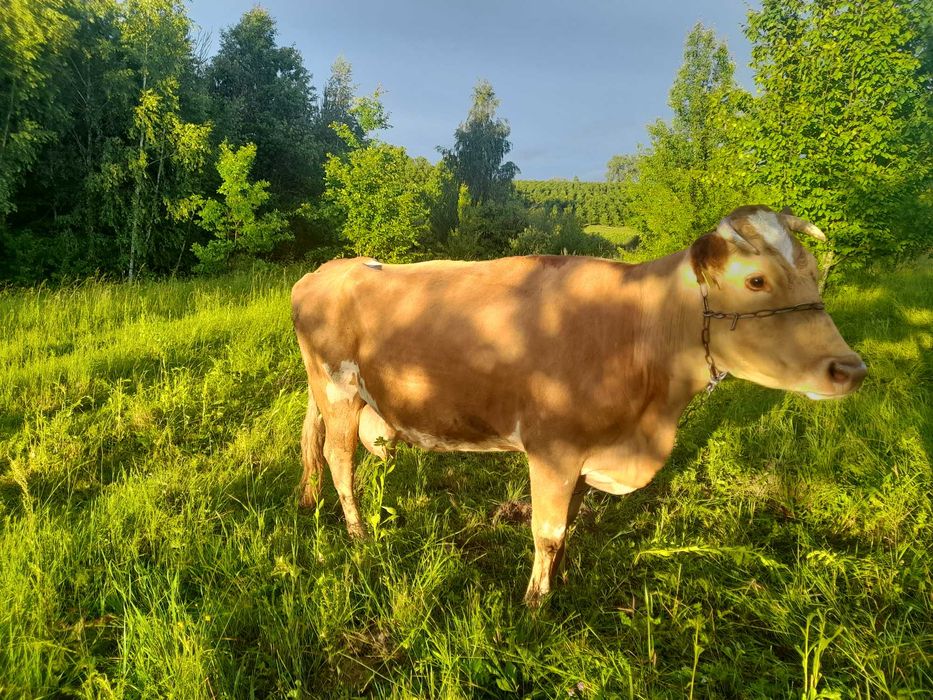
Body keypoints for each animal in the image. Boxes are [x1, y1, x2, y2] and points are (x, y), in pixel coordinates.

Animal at [290, 205, 866, 606]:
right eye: (756, 279)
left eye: (816, 273)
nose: (850, 369)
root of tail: (327, 269)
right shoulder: (554, 448)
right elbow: (546, 532)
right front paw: (535, 602)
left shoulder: (588, 454)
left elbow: (568, 525)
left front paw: (560, 581)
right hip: (340, 391)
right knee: (341, 461)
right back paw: (359, 534)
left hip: (327, 394)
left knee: (312, 442)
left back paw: (309, 500)